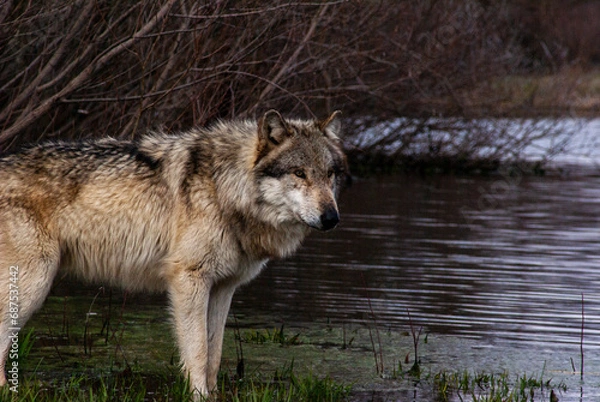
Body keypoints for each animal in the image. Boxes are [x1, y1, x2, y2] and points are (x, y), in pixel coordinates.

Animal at [0, 109, 346, 396]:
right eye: (299, 173)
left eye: (330, 174)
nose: (332, 218)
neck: (226, 188)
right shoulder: (189, 279)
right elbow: (198, 351)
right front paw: (199, 396)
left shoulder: (223, 287)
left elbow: (215, 353)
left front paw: (213, 395)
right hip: (34, 283)